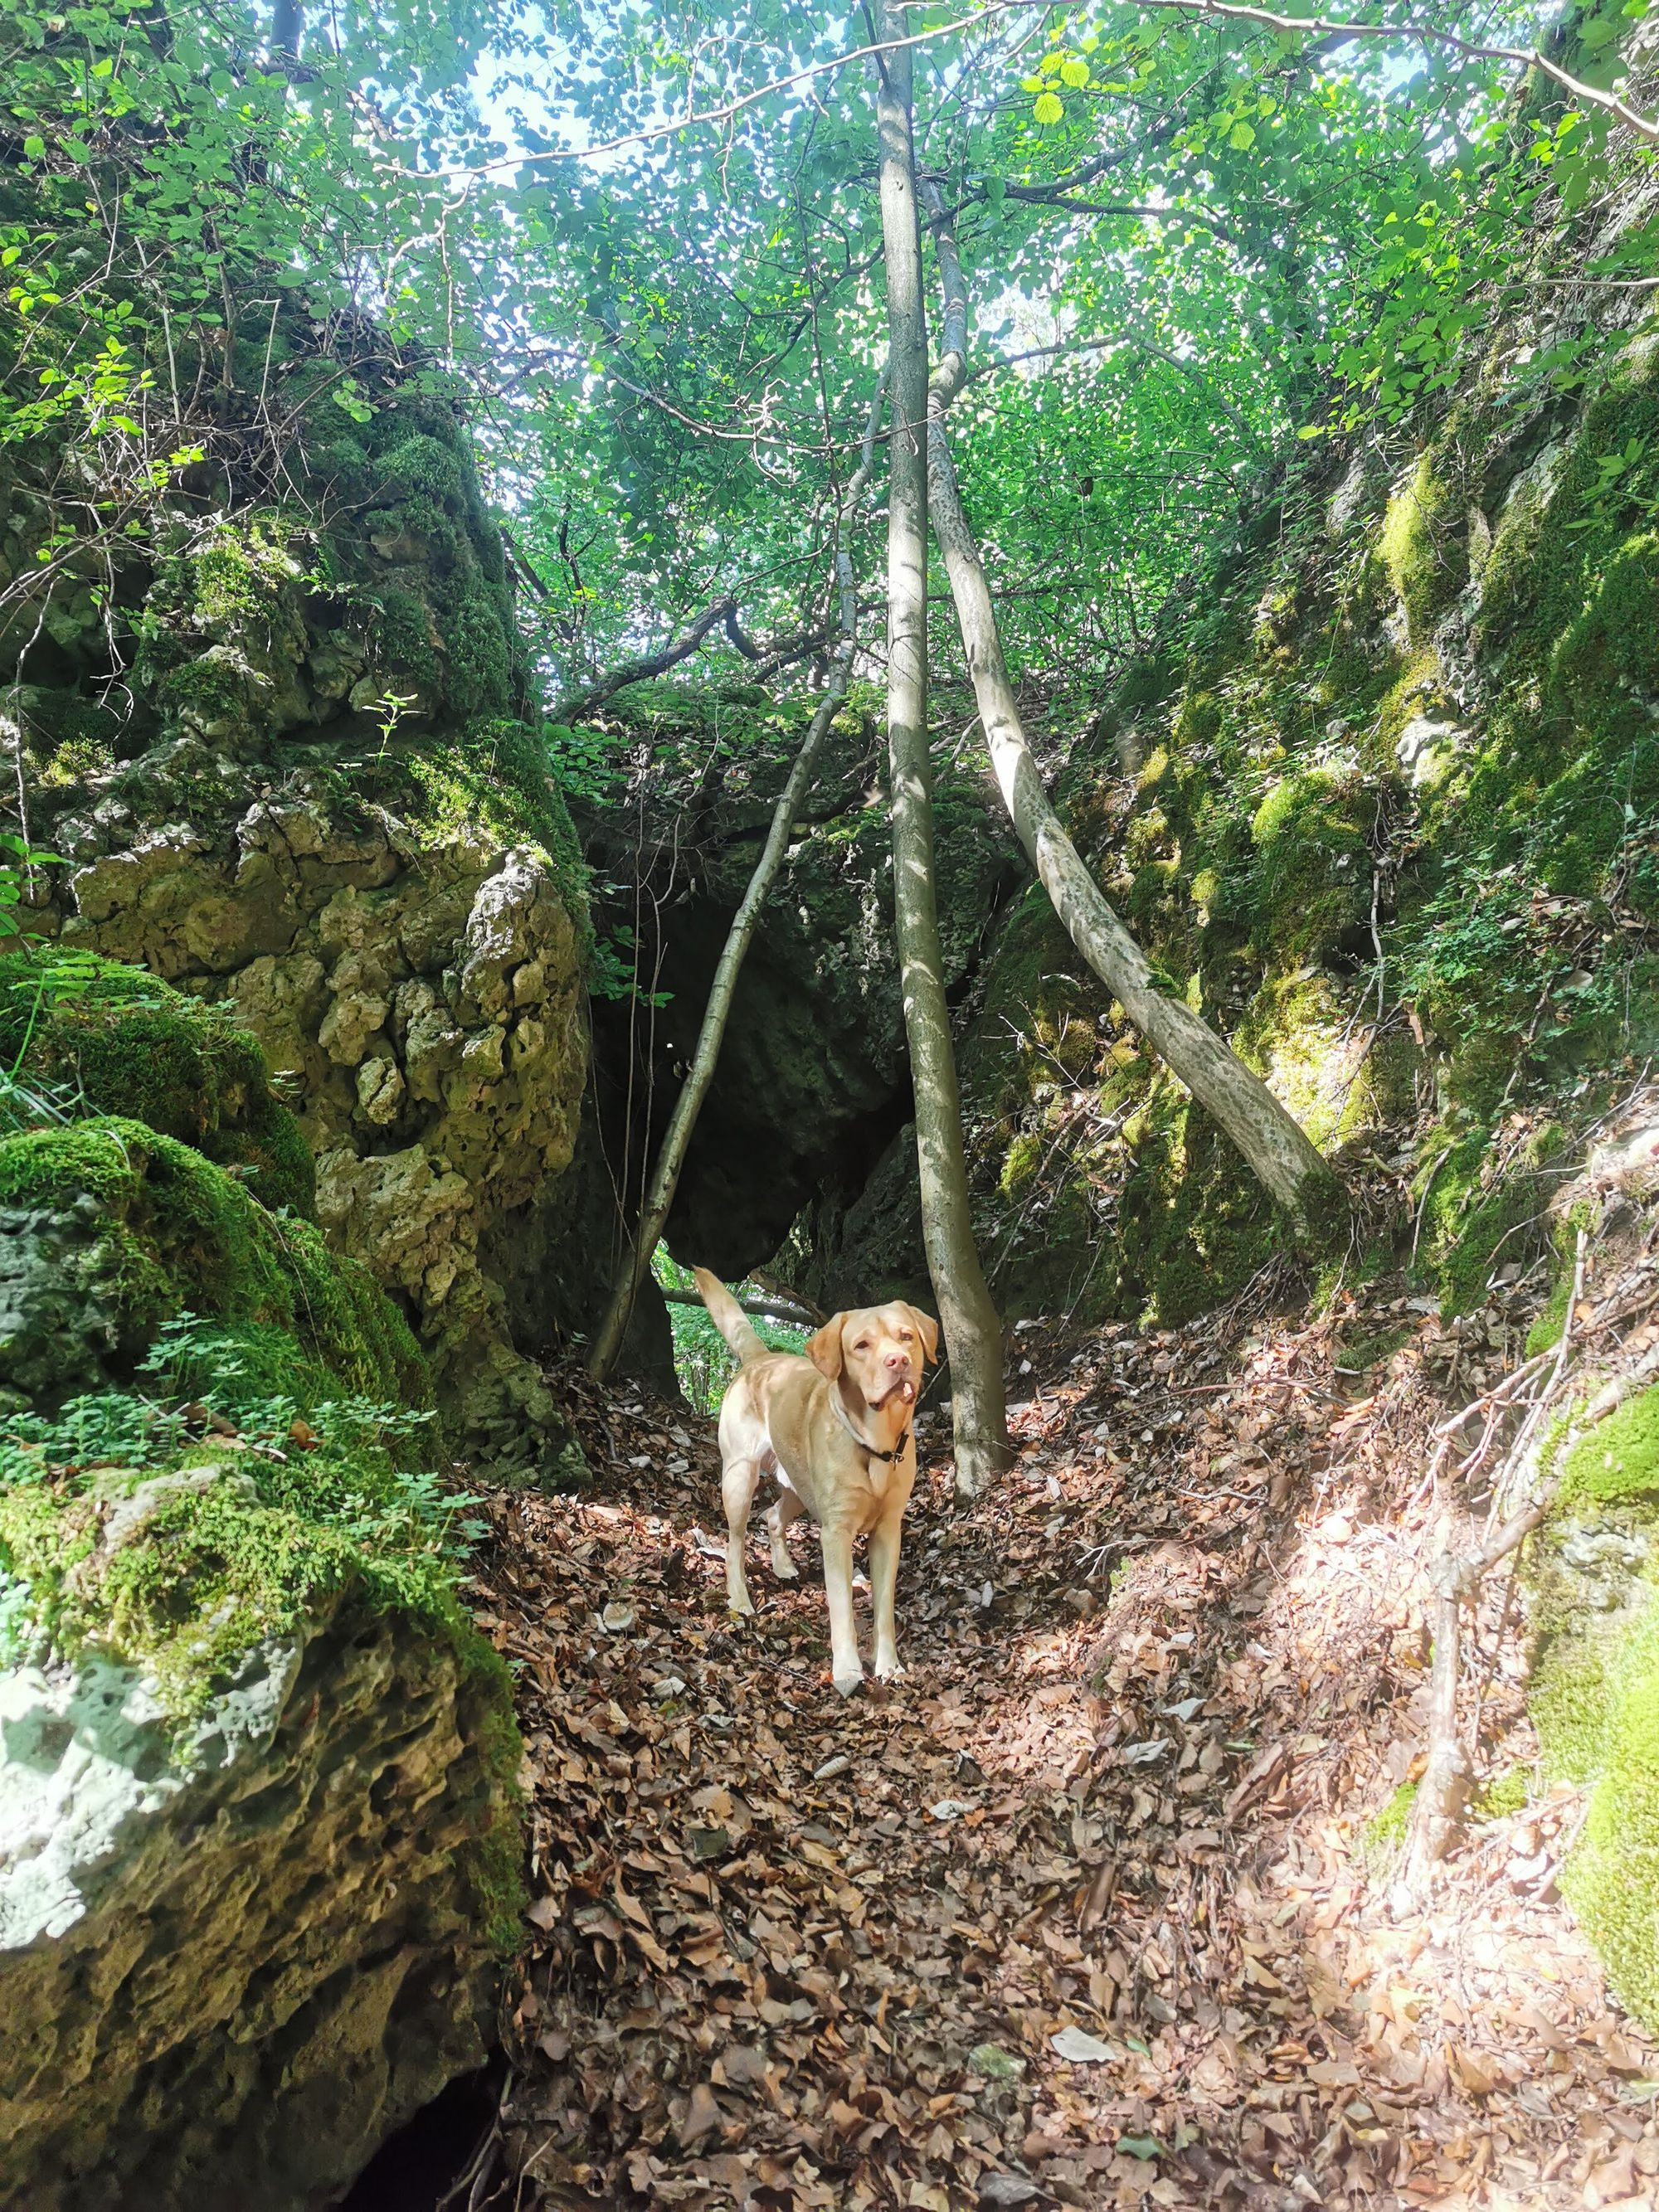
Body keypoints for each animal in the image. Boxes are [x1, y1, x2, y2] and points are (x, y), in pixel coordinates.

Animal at [690, 1274, 937, 1699]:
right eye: (861, 1346)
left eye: (906, 1337)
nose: (899, 1362)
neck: (875, 1445)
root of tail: (759, 1360)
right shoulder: (835, 1533)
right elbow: (841, 1610)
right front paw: (848, 1671)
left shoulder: (889, 1531)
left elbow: (884, 1609)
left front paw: (889, 1666)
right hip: (740, 1476)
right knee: (735, 1541)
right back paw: (739, 1598)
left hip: (799, 1489)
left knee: (773, 1514)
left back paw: (784, 1564)